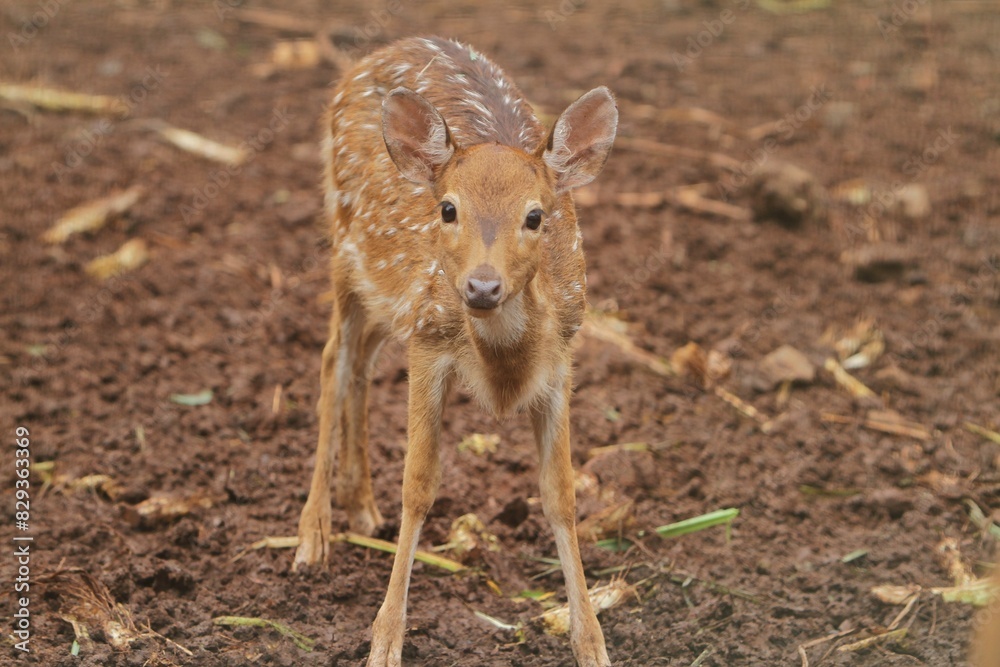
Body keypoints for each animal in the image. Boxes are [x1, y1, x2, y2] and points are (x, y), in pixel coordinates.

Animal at [292, 36, 618, 667]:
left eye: (536, 216)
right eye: (448, 209)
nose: (482, 286)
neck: (503, 364)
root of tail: (373, 55)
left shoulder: (562, 360)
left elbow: (561, 495)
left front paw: (592, 644)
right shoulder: (428, 339)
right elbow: (418, 485)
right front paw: (384, 641)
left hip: (386, 295)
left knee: (360, 360)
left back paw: (360, 503)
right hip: (346, 246)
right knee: (331, 359)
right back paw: (313, 535)